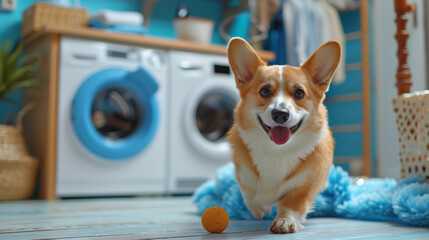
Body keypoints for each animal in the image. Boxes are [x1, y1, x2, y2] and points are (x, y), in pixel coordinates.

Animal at [226, 38, 340, 234]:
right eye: (264, 91)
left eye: (299, 93)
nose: (280, 114)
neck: (276, 150)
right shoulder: (242, 171)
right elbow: (249, 191)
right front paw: (259, 207)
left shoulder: (305, 184)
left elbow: (292, 202)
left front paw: (284, 221)